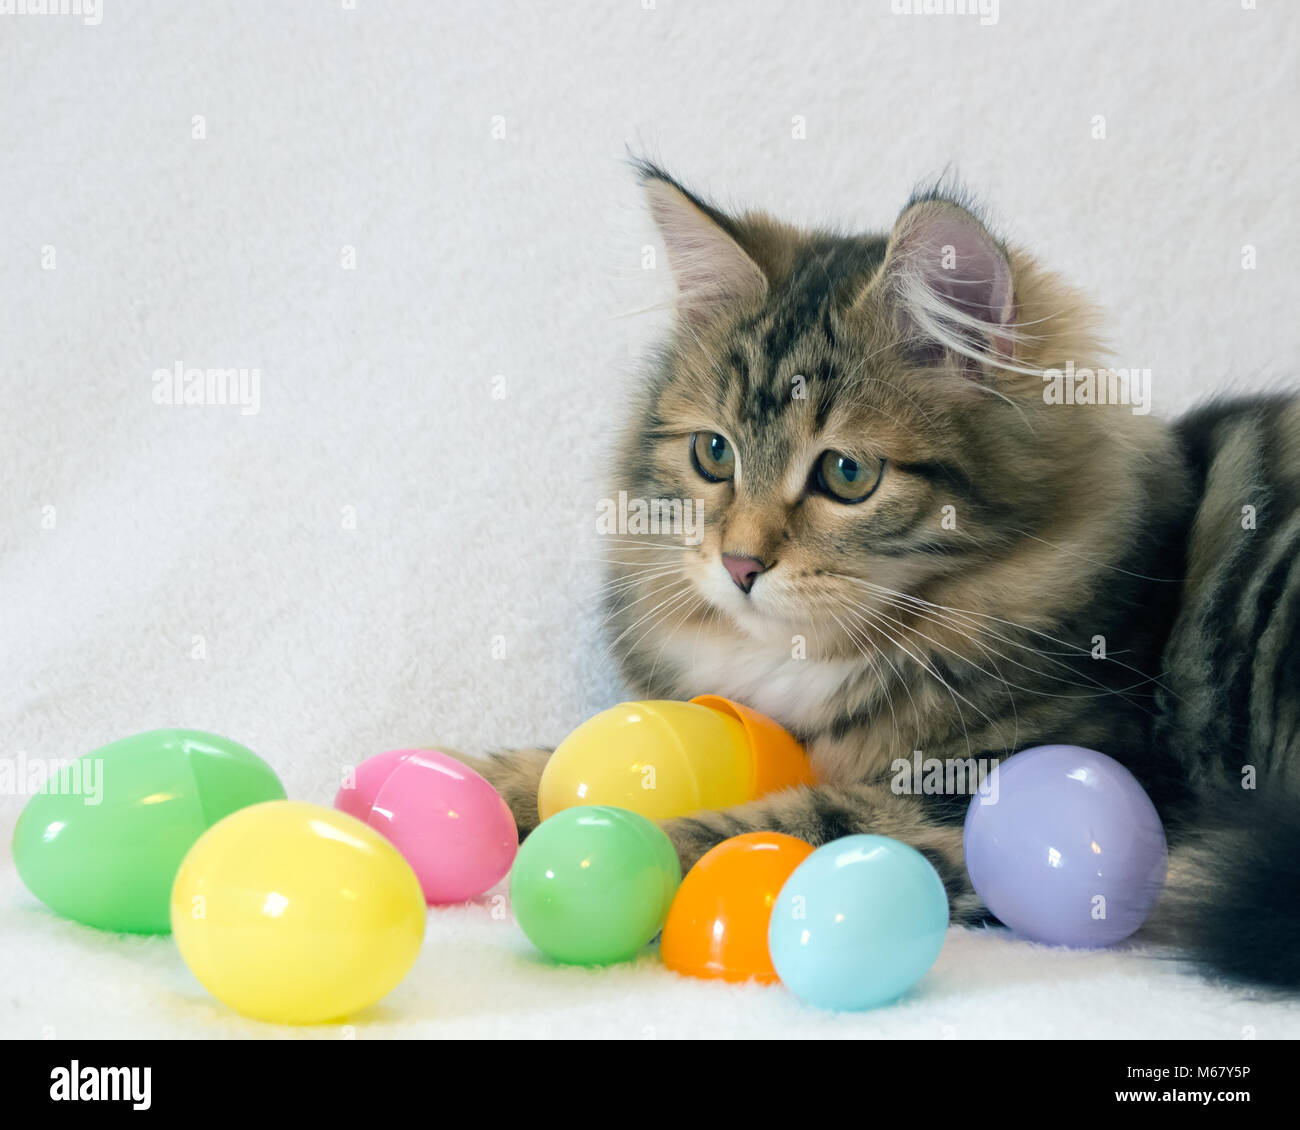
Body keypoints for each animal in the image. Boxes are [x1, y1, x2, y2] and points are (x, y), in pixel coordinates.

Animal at [457, 158, 1300, 988]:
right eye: (713, 454)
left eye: (848, 473)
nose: (739, 563)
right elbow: (547, 761)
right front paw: (469, 786)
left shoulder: (1012, 781)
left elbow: (794, 817)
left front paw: (602, 856)